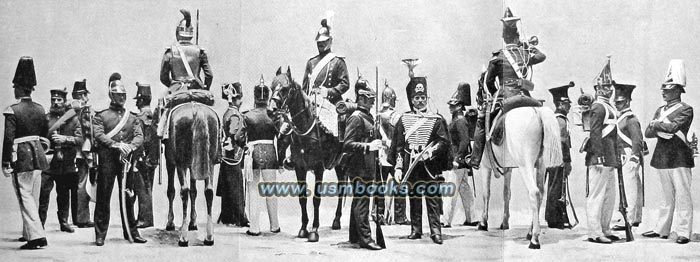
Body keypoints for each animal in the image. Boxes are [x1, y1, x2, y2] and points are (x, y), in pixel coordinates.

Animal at [164, 101, 219, 247]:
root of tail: (196, 110)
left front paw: (170, 223)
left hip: (180, 164)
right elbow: (194, 192)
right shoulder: (193, 165)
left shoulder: (170, 161)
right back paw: (209, 237)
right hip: (210, 163)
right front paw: (193, 223)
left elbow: (171, 191)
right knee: (209, 191)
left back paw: (183, 238)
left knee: (184, 191)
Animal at [268, 66, 344, 243]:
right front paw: (303, 228)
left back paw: (337, 221)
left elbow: (316, 199)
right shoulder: (300, 168)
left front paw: (314, 231)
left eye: (284, 89)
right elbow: (302, 198)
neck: (305, 129)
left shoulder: (318, 168)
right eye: (271, 87)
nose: (270, 110)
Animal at [482, 106, 564, 250]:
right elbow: (506, 193)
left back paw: (534, 239)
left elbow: (486, 193)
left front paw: (483, 223)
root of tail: (537, 111)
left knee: (534, 192)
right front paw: (504, 223)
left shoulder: (485, 166)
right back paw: (530, 232)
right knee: (540, 193)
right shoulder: (508, 169)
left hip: (526, 165)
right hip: (541, 165)